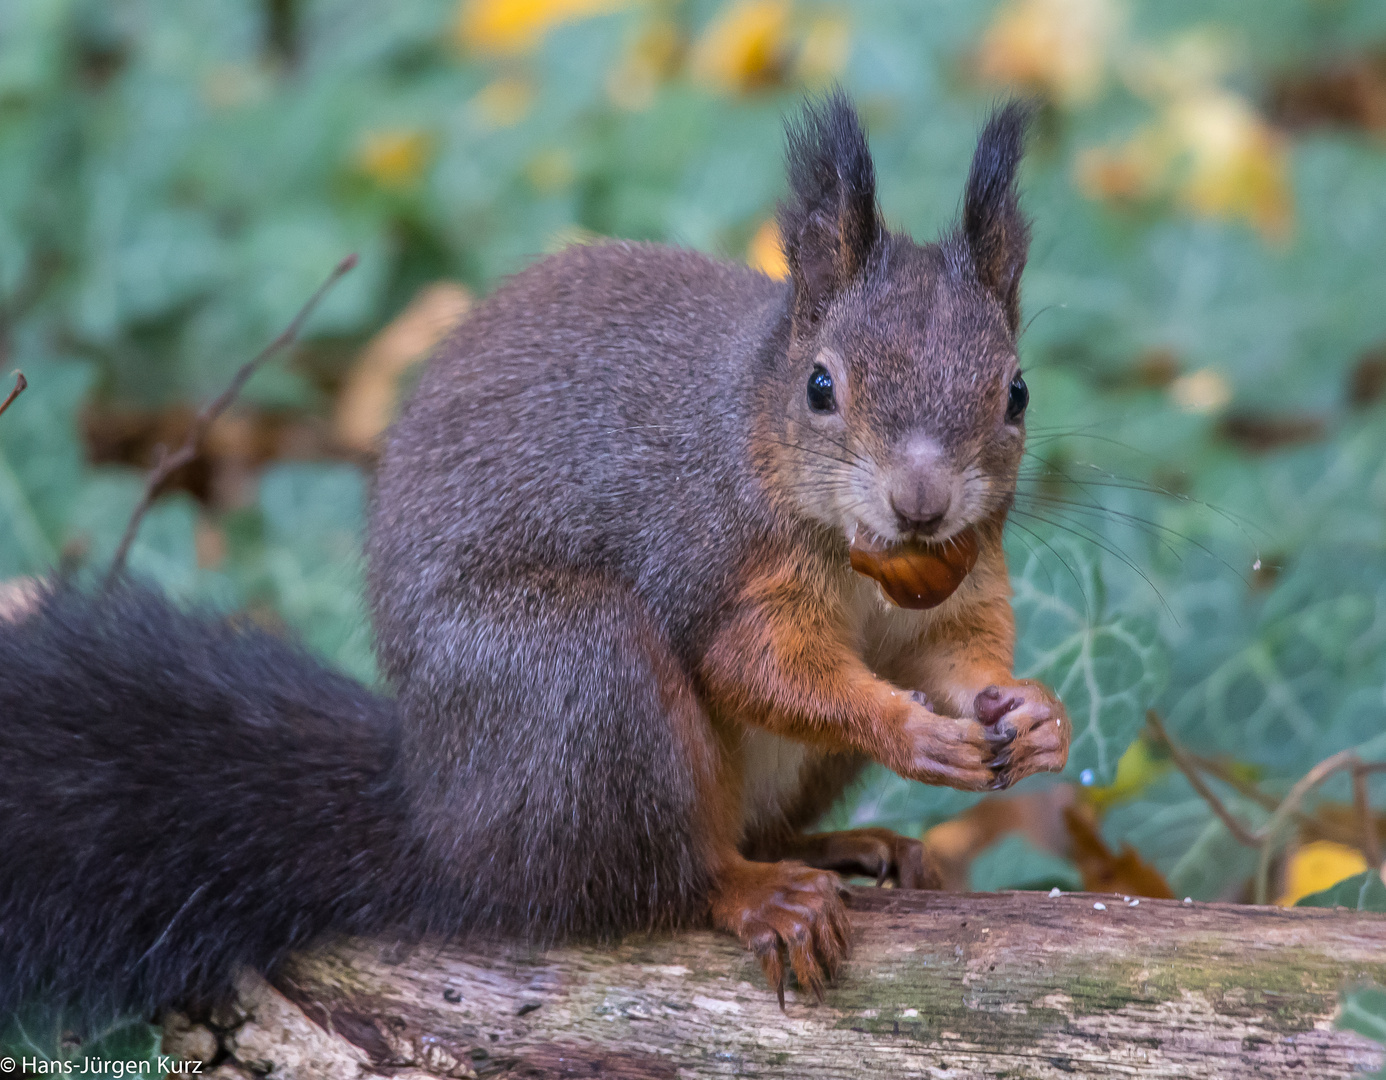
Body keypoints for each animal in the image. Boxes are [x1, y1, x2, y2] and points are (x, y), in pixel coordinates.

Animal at [0, 90, 1069, 1020]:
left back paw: (853, 846)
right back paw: (765, 892)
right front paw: (912, 729)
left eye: (1017, 392)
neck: (862, 558)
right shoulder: (711, 554)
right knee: (659, 878)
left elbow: (954, 652)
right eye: (820, 387)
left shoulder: (961, 577)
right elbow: (758, 666)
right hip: (577, 680)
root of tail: (445, 827)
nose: (922, 505)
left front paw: (1032, 712)